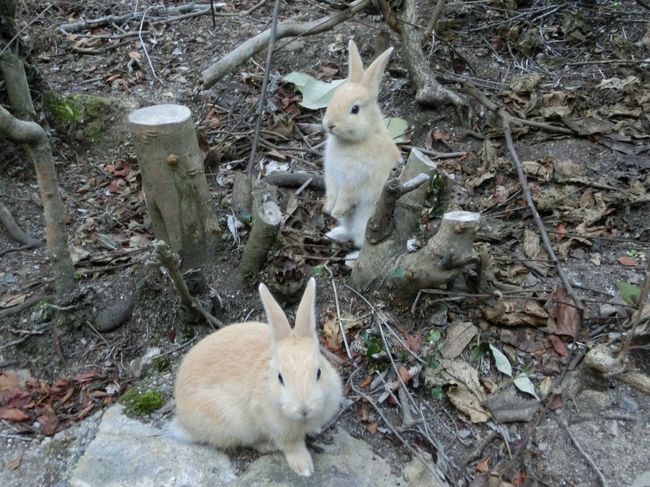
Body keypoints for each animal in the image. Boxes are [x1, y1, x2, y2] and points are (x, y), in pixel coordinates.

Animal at [175, 278, 342, 476]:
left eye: (318, 372)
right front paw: (304, 468)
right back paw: (269, 446)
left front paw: (315, 430)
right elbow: (292, 447)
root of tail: (182, 421)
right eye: (280, 377)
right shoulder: (276, 429)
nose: (304, 409)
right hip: (233, 422)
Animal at [320, 39, 398, 250]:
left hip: (366, 221)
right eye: (334, 97)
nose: (329, 124)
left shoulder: (354, 179)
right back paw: (334, 234)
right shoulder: (332, 176)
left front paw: (336, 211)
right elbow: (332, 192)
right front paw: (328, 208)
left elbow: (346, 196)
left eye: (355, 109)